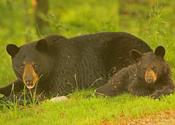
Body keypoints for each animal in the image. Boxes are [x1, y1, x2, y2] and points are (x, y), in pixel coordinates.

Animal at [0, 31, 152, 104]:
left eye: (35, 64)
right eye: (21, 66)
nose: (29, 80)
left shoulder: (63, 69)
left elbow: (50, 91)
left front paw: (6, 100)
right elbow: (14, 84)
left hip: (121, 51)